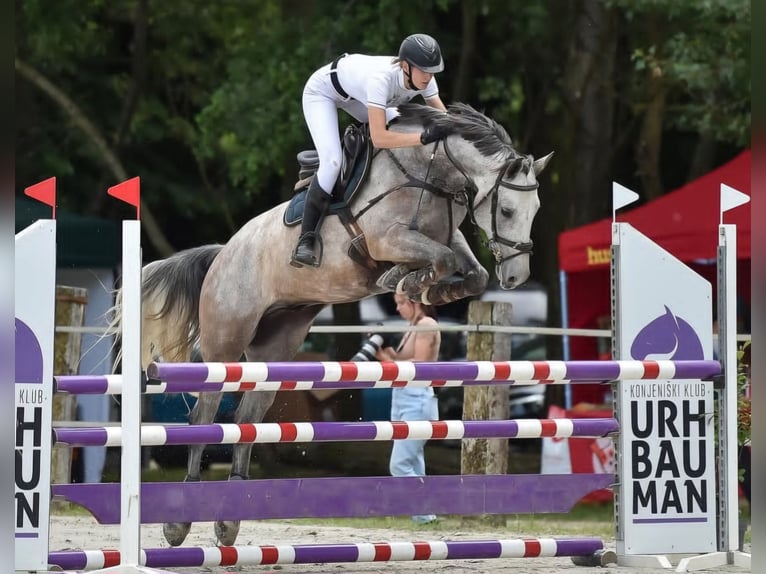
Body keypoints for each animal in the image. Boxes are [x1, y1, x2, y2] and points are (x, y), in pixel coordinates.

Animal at [135, 101, 552, 548]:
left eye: (536, 211)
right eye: (506, 210)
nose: (517, 277)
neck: (429, 171)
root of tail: (222, 253)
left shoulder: (447, 239)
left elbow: (469, 272)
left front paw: (428, 290)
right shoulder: (388, 239)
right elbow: (438, 260)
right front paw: (403, 280)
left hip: (275, 345)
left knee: (247, 419)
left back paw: (229, 520)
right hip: (225, 342)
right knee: (203, 416)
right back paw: (179, 523)